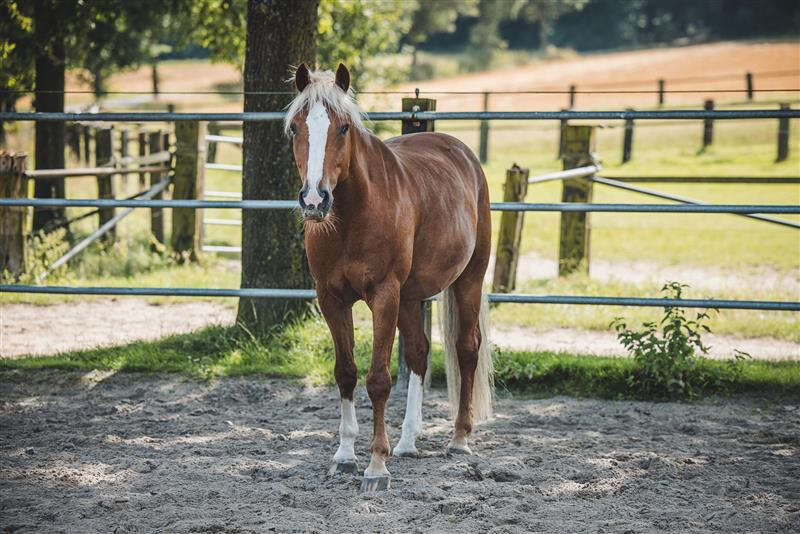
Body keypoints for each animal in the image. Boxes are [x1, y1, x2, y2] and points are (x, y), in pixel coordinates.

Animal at [285, 63, 493, 492]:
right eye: (296, 128)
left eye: (343, 127)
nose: (314, 200)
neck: (352, 217)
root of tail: (463, 153)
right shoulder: (331, 299)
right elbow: (346, 373)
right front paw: (345, 455)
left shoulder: (383, 296)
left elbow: (378, 379)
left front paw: (376, 465)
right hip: (411, 297)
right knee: (418, 353)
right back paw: (408, 442)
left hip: (468, 279)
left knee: (466, 349)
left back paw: (459, 439)